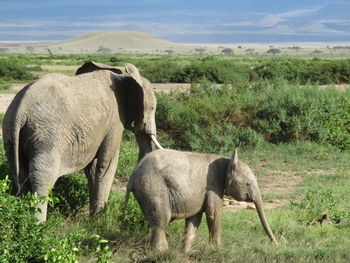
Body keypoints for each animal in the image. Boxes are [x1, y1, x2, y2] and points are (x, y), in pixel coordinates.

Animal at [2, 61, 163, 223]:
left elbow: (92, 169)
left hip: (10, 132)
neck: (125, 78)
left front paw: (93, 219)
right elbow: (107, 164)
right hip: (47, 135)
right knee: (42, 178)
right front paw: (99, 219)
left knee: (20, 175)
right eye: (153, 108)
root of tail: (21, 109)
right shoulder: (115, 121)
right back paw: (39, 225)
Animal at [124, 148, 278, 254]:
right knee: (161, 221)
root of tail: (133, 174)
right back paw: (162, 253)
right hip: (154, 187)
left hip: (146, 191)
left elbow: (194, 218)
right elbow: (214, 214)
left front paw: (187, 252)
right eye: (247, 184)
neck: (227, 161)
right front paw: (217, 250)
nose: (277, 244)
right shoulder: (213, 185)